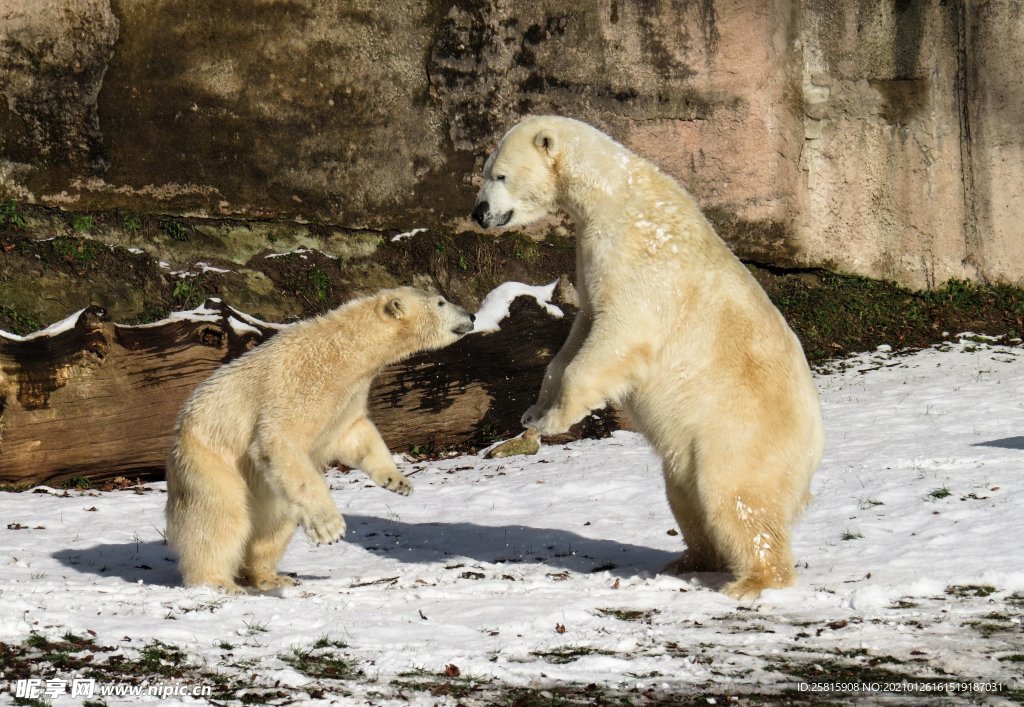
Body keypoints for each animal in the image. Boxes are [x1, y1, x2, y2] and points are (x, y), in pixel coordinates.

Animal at [164, 286, 475, 590]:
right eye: (440, 302)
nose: (471, 315)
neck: (345, 351)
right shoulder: (301, 382)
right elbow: (280, 440)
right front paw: (330, 528)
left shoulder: (348, 395)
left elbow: (355, 434)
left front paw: (398, 481)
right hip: (208, 456)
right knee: (221, 516)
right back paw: (216, 582)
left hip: (265, 488)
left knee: (274, 522)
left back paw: (270, 576)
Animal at [471, 114, 823, 594]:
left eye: (499, 175)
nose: (479, 213)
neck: (614, 193)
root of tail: (813, 451)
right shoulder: (590, 260)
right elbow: (577, 335)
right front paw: (533, 410)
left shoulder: (637, 259)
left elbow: (618, 333)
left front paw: (554, 420)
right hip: (690, 453)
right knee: (685, 495)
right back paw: (686, 560)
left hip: (740, 431)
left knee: (735, 494)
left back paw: (751, 581)